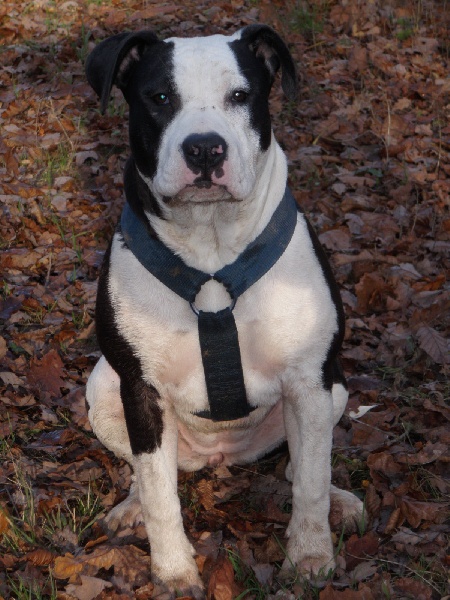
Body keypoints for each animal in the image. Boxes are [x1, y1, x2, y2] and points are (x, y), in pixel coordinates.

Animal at [84, 25, 364, 596]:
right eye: (159, 97)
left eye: (240, 95)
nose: (204, 148)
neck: (210, 243)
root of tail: (223, 456)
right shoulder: (140, 390)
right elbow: (160, 494)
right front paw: (173, 571)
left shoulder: (309, 380)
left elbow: (311, 482)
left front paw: (310, 558)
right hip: (102, 388)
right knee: (146, 471)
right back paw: (131, 506)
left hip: (335, 387)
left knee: (300, 465)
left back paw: (339, 501)